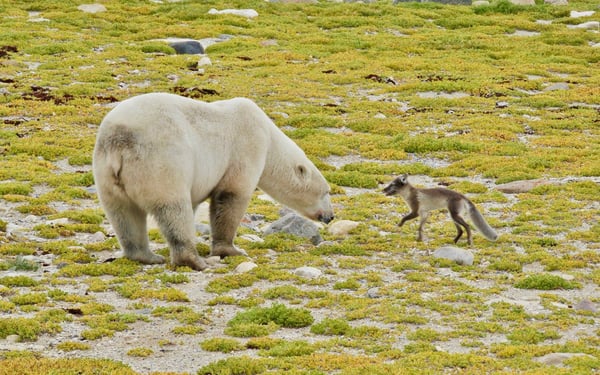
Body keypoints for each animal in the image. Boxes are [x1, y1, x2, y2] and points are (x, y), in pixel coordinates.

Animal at [96, 93, 336, 272]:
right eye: (326, 192)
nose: (331, 216)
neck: (269, 137)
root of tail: (119, 141)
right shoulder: (247, 145)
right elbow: (230, 197)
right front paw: (231, 250)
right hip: (161, 161)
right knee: (173, 208)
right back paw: (195, 261)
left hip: (107, 175)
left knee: (124, 214)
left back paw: (146, 256)